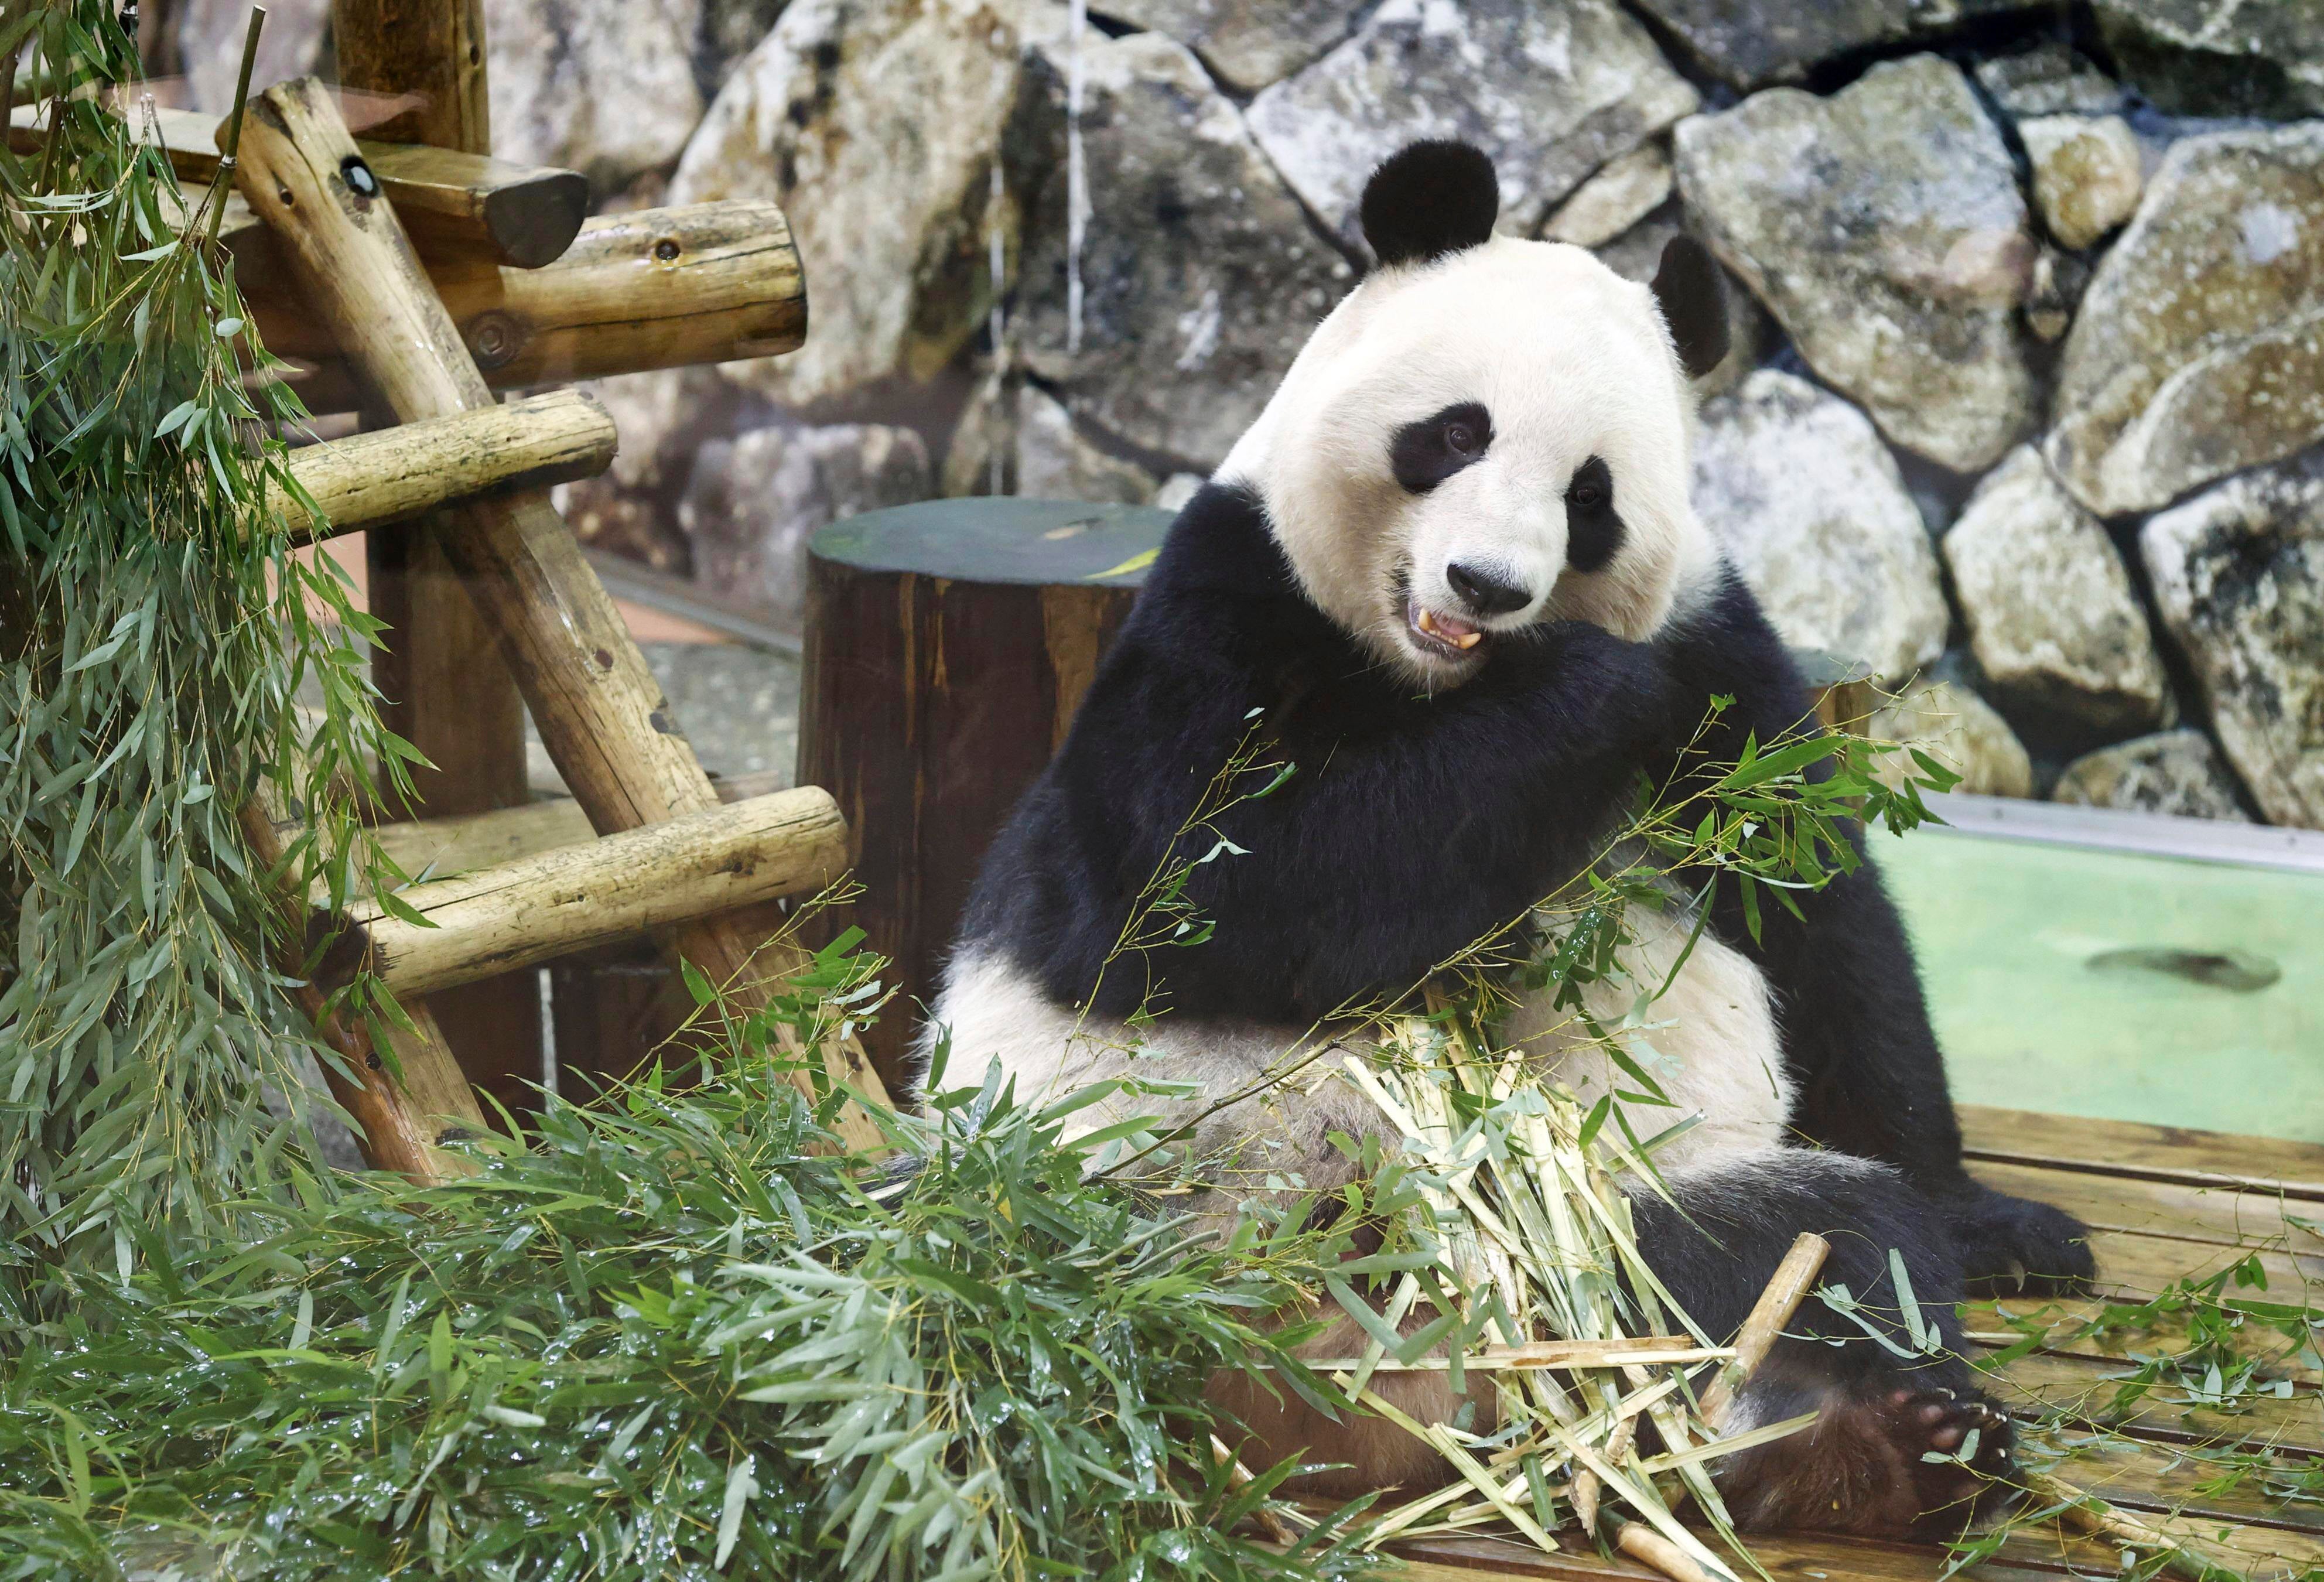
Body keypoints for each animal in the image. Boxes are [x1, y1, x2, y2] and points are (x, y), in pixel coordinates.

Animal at [918, 140, 2094, 1538]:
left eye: (1589, 496)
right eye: (1453, 432)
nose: (1485, 585)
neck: (1443, 683)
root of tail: (1422, 1399)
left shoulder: (1719, 655)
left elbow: (1822, 933)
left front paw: (2002, 1226)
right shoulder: (1227, 602)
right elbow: (1181, 893)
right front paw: (1584, 691)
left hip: (1628, 1215)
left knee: (1822, 1251)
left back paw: (1874, 1451)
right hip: (1093, 1213)